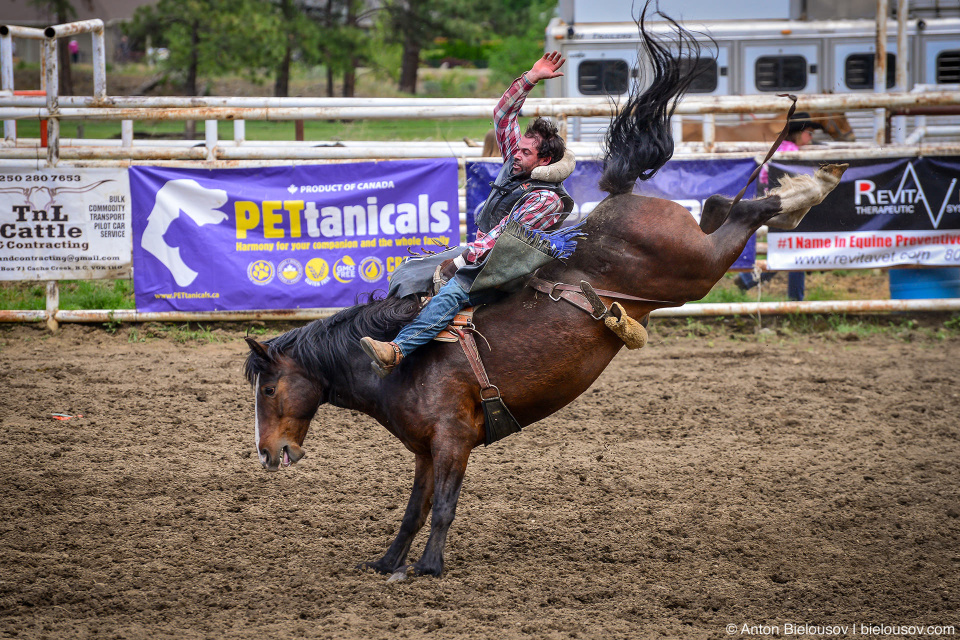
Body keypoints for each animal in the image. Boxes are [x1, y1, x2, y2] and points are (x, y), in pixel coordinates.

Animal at [242, 7, 848, 584]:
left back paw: (811, 184)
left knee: (745, 214)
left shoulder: (454, 440)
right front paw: (388, 562)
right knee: (723, 207)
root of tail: (618, 199)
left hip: (691, 270)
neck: (402, 367)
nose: (268, 455)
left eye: (269, 388)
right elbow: (414, 509)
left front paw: (430, 567)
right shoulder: (425, 450)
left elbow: (443, 509)